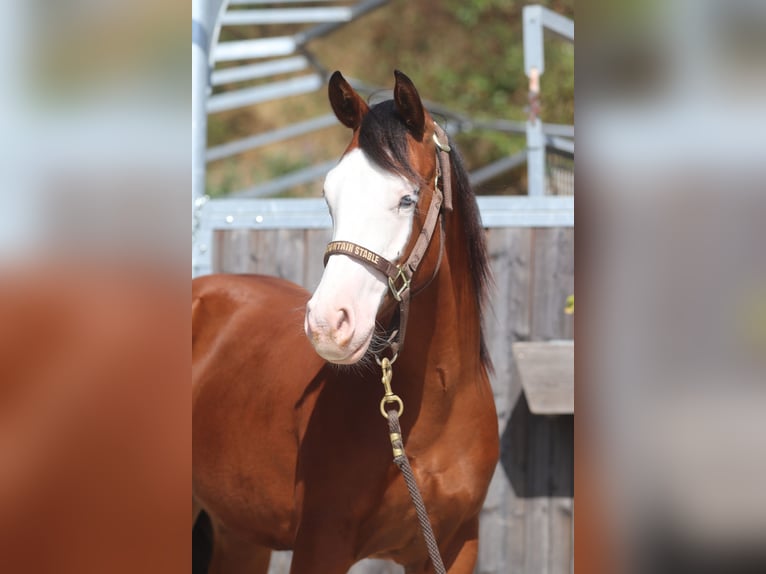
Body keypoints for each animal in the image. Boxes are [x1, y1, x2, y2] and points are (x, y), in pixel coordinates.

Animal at [195, 70, 500, 572]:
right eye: (328, 196)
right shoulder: (321, 543)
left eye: (406, 199)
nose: (326, 323)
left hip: (238, 532)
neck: (440, 402)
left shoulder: (456, 546)